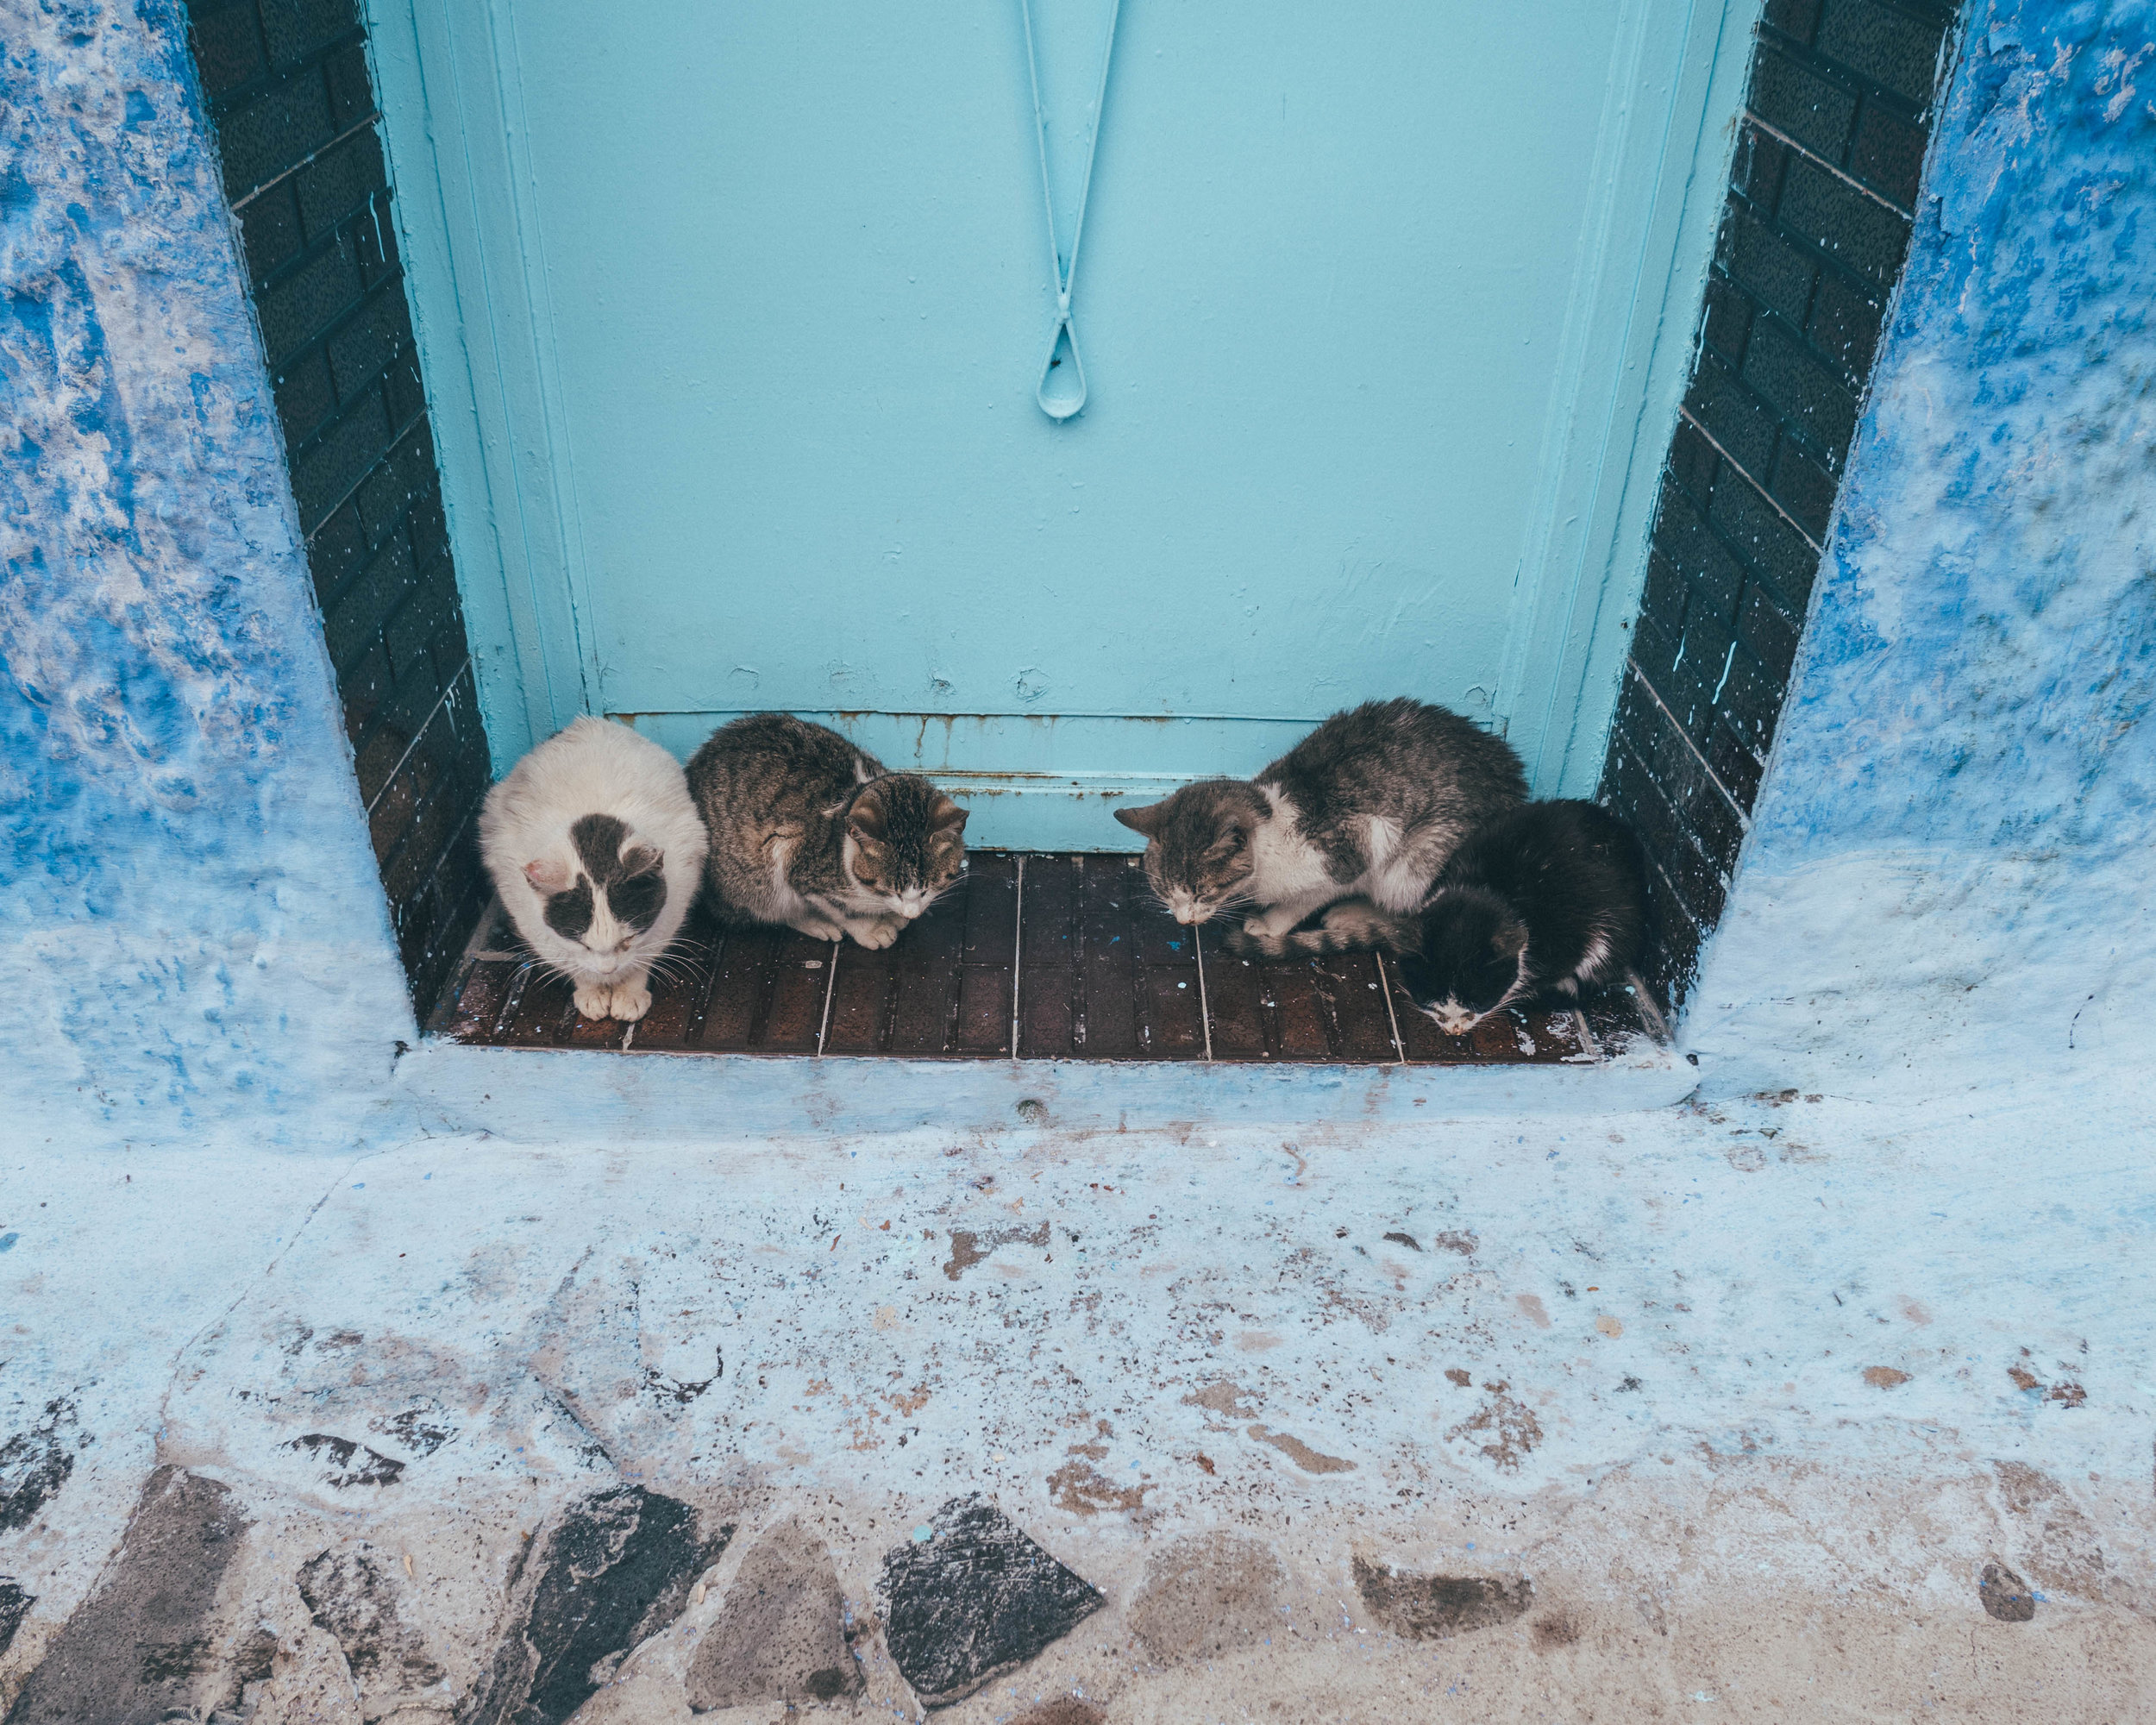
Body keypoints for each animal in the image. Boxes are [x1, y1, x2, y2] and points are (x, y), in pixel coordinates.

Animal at [479, 716, 707, 1026]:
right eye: (584, 945)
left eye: (627, 940)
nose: (608, 971)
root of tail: (585, 722)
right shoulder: (523, 906)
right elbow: (568, 958)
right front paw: (591, 990)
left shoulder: (678, 892)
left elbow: (644, 953)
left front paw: (629, 991)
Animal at [690, 716, 970, 957]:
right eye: (890, 889)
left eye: (928, 889)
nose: (912, 913)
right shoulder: (798, 864)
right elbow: (842, 911)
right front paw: (870, 928)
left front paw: (892, 916)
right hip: (754, 877)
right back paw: (815, 922)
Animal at [1112, 694, 1535, 949]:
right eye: (1165, 890)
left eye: (1202, 892)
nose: (1184, 922)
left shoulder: (1358, 846)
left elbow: (1308, 897)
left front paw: (1272, 923)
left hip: (1420, 855)